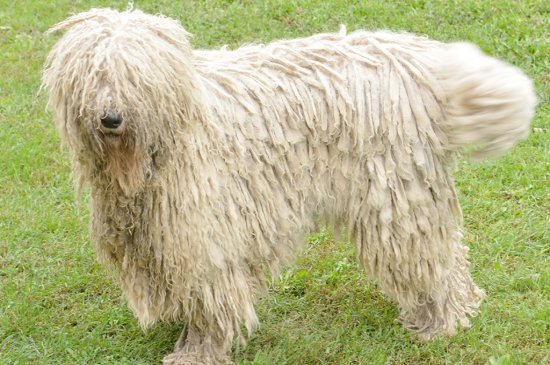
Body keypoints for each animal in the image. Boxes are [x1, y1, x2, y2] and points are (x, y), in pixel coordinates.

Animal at [42, 7, 540, 362]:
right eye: (92, 76)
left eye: (134, 76)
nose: (110, 118)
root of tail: (416, 63)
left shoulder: (205, 236)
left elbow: (210, 299)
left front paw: (198, 350)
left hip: (397, 197)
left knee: (436, 258)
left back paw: (442, 321)